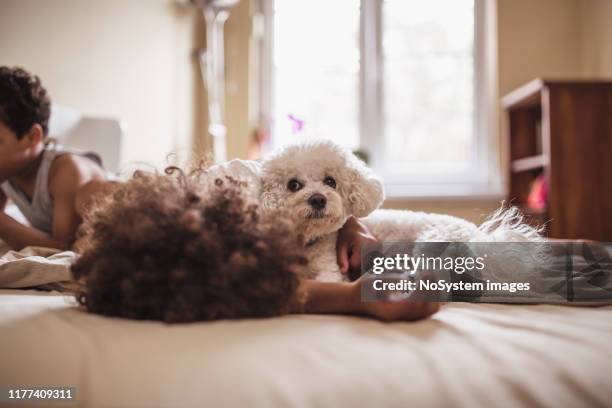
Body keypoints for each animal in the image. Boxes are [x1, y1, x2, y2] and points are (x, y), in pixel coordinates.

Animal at [260, 140, 544, 280]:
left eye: (331, 181)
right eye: (293, 185)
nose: (318, 199)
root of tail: (480, 235)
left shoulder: (330, 272)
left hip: (431, 244)